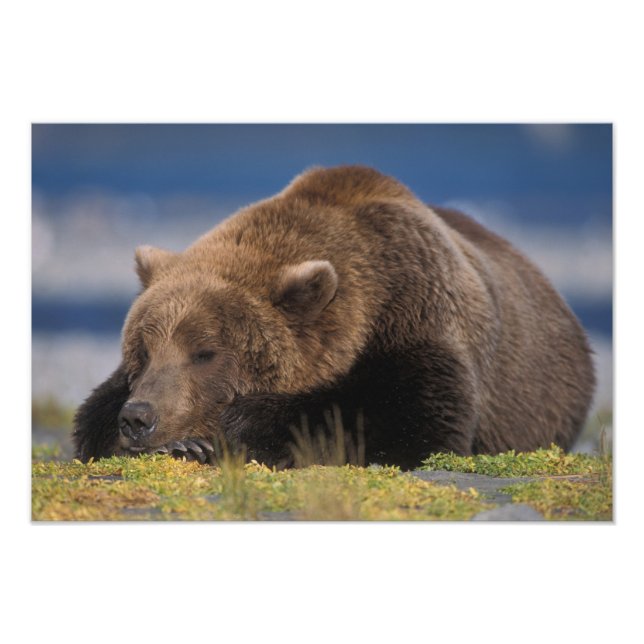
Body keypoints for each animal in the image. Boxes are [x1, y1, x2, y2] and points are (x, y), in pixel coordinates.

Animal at [73, 165, 596, 469]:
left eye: (205, 352)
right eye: (142, 350)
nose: (139, 417)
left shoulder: (418, 315)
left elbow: (409, 420)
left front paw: (229, 431)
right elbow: (91, 418)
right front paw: (179, 443)